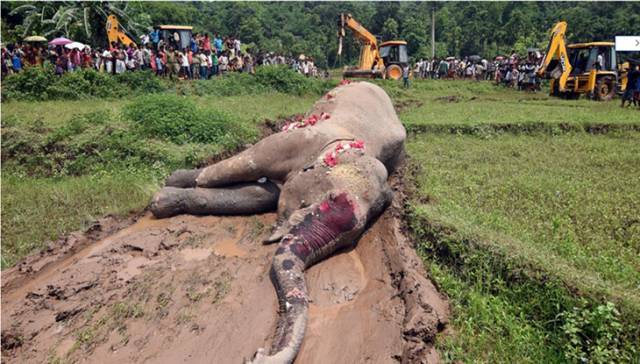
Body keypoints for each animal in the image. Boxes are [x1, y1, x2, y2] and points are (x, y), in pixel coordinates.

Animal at [151, 81, 404, 362]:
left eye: (352, 241)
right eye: (330, 198)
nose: (259, 354)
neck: (356, 149)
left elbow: (262, 194)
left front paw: (165, 198)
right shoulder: (301, 140)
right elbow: (249, 166)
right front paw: (167, 191)